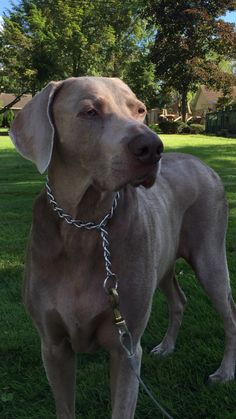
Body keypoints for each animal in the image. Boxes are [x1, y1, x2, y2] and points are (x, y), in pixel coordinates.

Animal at [9, 77, 236, 418]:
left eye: (140, 109)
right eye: (90, 111)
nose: (152, 147)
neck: (85, 224)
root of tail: (204, 164)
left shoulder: (125, 348)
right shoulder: (53, 346)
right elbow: (64, 405)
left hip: (209, 255)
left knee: (230, 314)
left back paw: (224, 373)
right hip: (163, 261)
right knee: (179, 299)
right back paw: (166, 347)